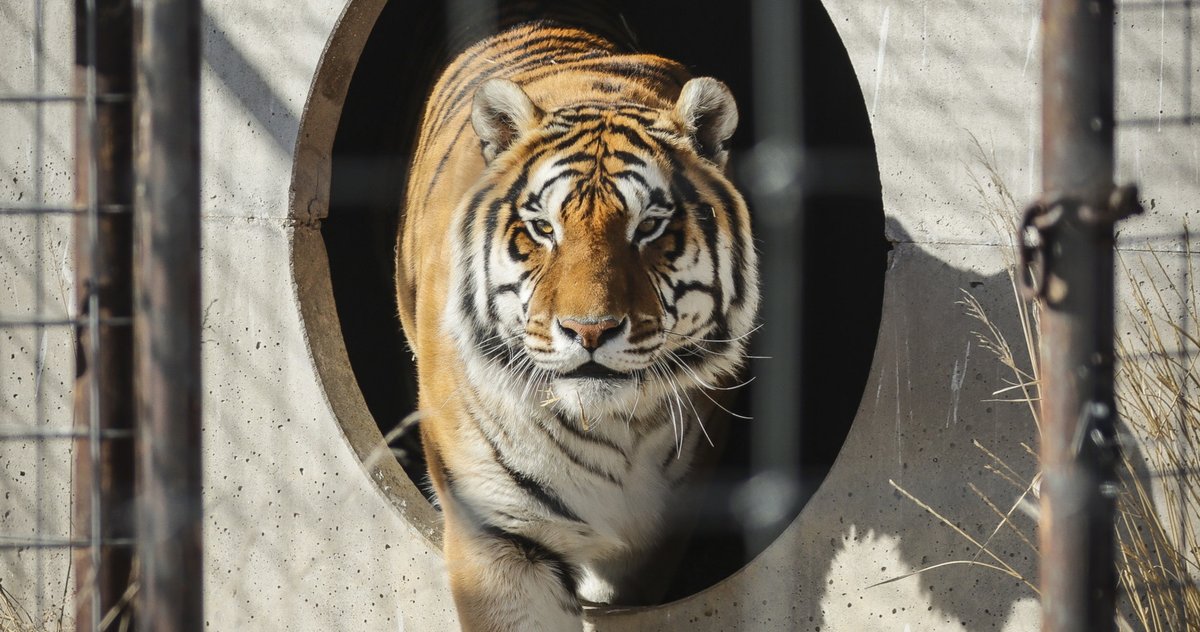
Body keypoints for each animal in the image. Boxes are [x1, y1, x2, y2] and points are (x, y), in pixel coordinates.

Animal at [395, 16, 759, 632]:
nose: (589, 331)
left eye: (650, 226)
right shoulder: (497, 534)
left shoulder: (651, 544)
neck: (611, 433)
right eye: (543, 228)